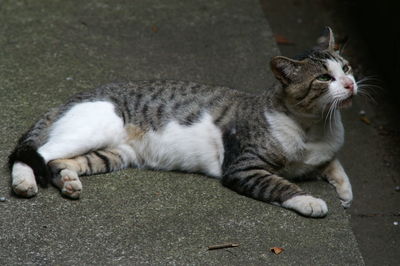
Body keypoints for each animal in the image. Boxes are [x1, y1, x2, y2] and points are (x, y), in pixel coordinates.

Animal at [8, 28, 354, 217]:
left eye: (347, 68)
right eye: (324, 78)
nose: (351, 84)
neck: (316, 126)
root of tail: (68, 99)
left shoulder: (320, 155)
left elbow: (334, 164)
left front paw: (345, 192)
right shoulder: (243, 168)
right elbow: (282, 185)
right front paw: (309, 200)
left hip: (115, 154)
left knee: (58, 161)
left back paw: (69, 180)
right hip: (92, 130)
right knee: (32, 154)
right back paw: (24, 183)